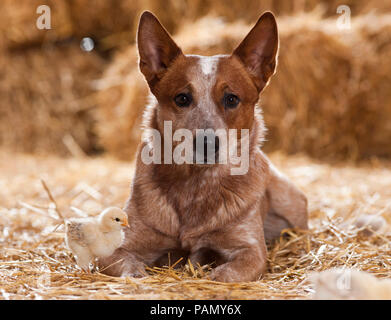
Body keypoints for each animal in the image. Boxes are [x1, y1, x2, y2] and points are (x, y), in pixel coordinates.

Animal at [99, 10, 310, 282]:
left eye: (231, 99)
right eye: (182, 98)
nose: (207, 143)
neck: (196, 185)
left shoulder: (250, 250)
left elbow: (225, 274)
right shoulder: (117, 247)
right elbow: (130, 269)